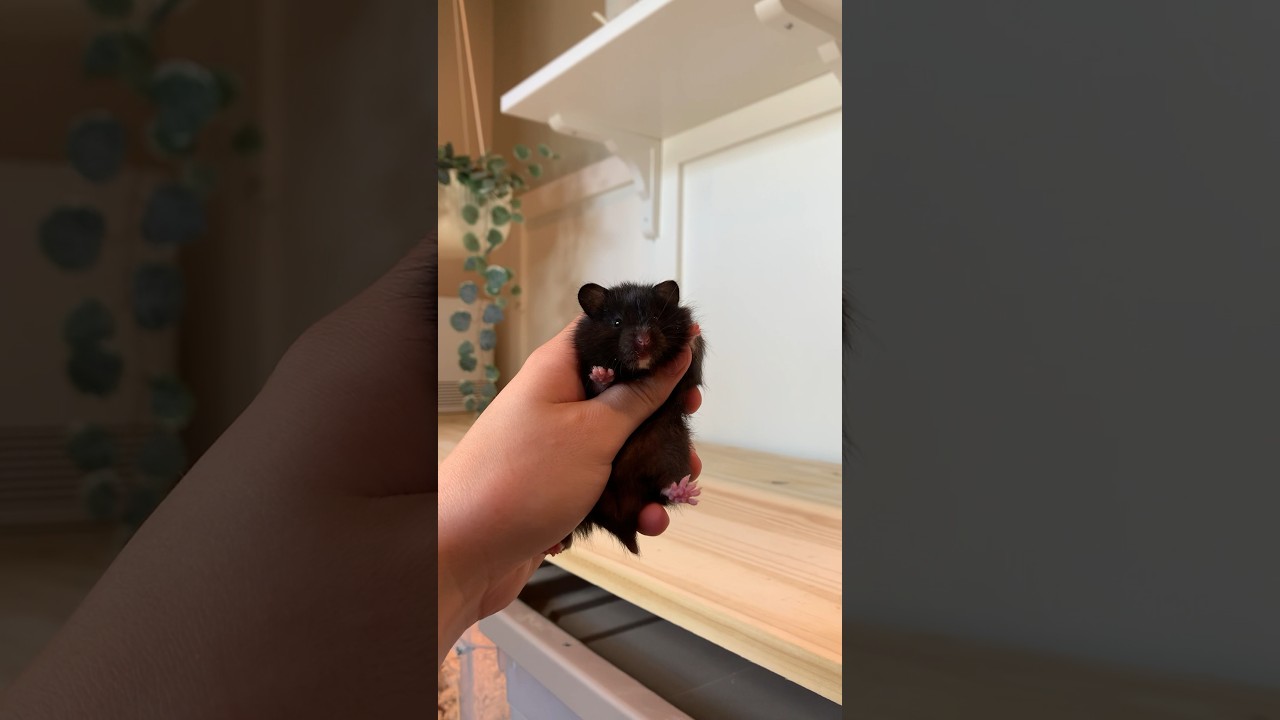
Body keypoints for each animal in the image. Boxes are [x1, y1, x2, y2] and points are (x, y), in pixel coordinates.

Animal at [551, 279, 706, 555]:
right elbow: (598, 386)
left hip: (670, 450)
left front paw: (693, 331)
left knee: (663, 488)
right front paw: (602, 373)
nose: (644, 343)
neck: (638, 372)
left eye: (656, 317)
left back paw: (682, 491)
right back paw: (555, 545)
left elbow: (692, 357)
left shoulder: (688, 379)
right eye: (617, 322)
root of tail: (621, 517)